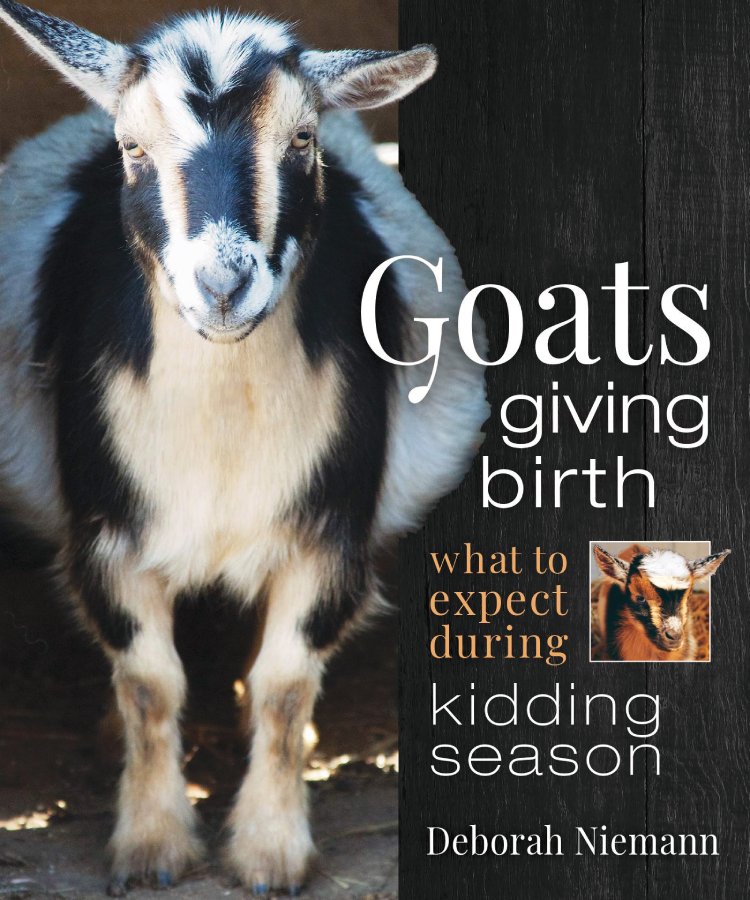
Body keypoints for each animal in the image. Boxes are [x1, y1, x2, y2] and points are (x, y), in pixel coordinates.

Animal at [0, 3, 488, 894]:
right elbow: (150, 683)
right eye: (131, 146)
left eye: (302, 139)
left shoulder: (329, 530)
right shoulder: (105, 531)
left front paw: (270, 851)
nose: (223, 286)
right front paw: (152, 847)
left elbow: (284, 686)